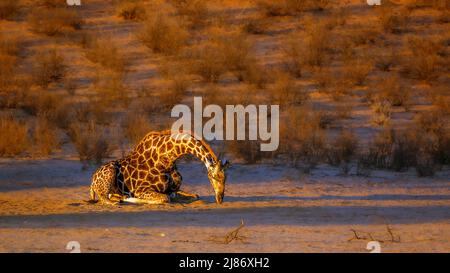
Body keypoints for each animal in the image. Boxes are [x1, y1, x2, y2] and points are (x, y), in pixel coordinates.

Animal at [89, 130, 229, 204]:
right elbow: (165, 198)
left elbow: (193, 195)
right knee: (106, 199)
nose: (220, 198)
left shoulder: (174, 189)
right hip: (110, 171)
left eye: (225, 178)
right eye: (214, 177)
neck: (168, 159)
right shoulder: (141, 190)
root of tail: (92, 180)